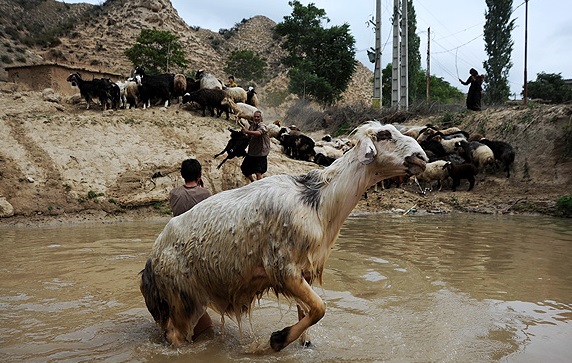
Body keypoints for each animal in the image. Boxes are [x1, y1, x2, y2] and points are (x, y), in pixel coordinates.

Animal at [137, 122, 424, 352]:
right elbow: (320, 307)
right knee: (174, 335)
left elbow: (308, 314)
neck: (320, 202)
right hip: (181, 297)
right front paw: (277, 340)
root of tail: (151, 260)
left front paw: (302, 343)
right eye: (385, 134)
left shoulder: (305, 270)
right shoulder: (283, 268)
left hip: (195, 296)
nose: (421, 157)